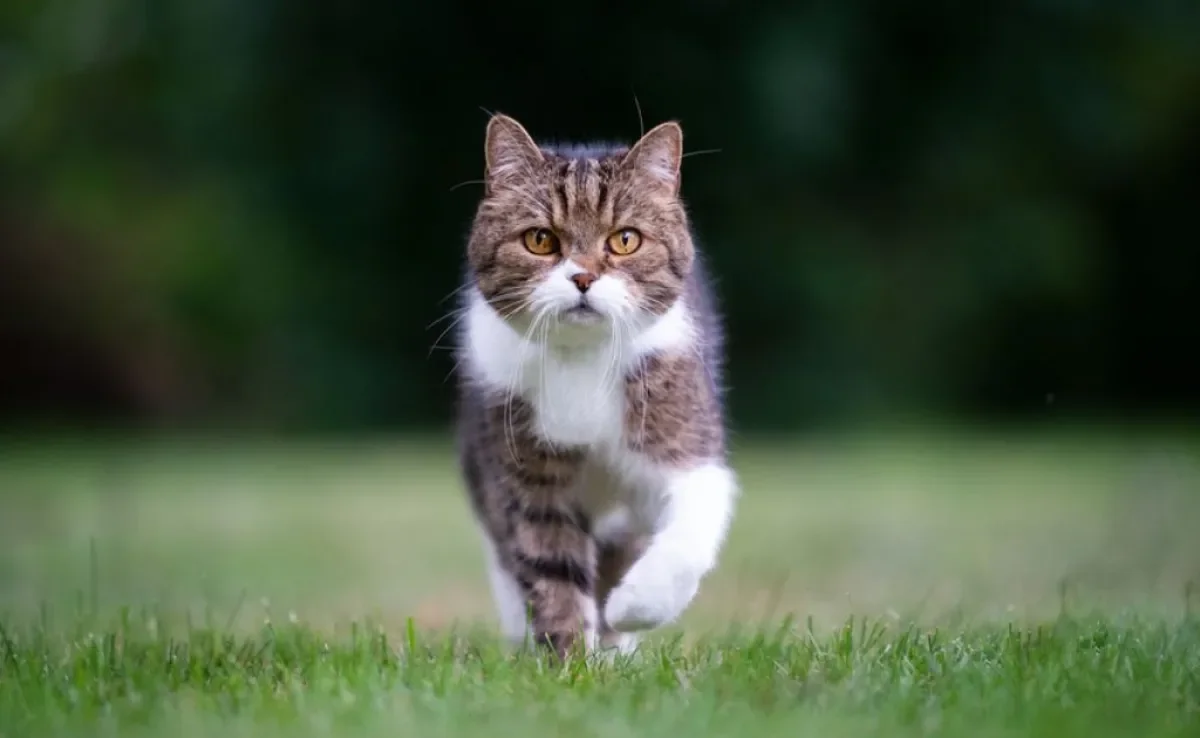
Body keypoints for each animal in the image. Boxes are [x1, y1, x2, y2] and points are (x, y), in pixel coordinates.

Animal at [451, 115, 734, 657]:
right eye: (540, 239)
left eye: (625, 240)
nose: (583, 277)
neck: (582, 357)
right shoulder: (526, 475)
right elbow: (550, 568)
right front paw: (567, 661)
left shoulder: (683, 437)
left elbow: (690, 528)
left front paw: (632, 607)